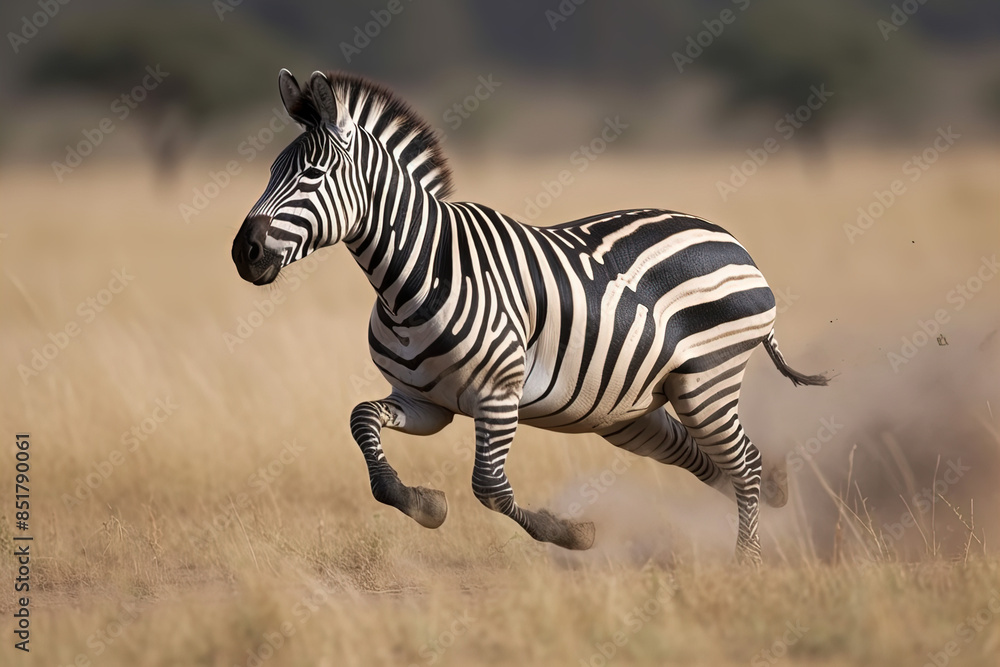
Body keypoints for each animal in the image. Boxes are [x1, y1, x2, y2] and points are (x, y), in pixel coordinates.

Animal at [232, 70, 828, 565]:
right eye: (270, 171)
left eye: (312, 173)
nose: (244, 252)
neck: (413, 278)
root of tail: (728, 239)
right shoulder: (425, 403)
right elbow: (363, 424)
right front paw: (423, 503)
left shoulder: (497, 396)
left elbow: (490, 488)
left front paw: (574, 535)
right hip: (630, 410)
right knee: (714, 460)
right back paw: (773, 500)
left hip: (707, 380)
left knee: (742, 463)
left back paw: (746, 562)